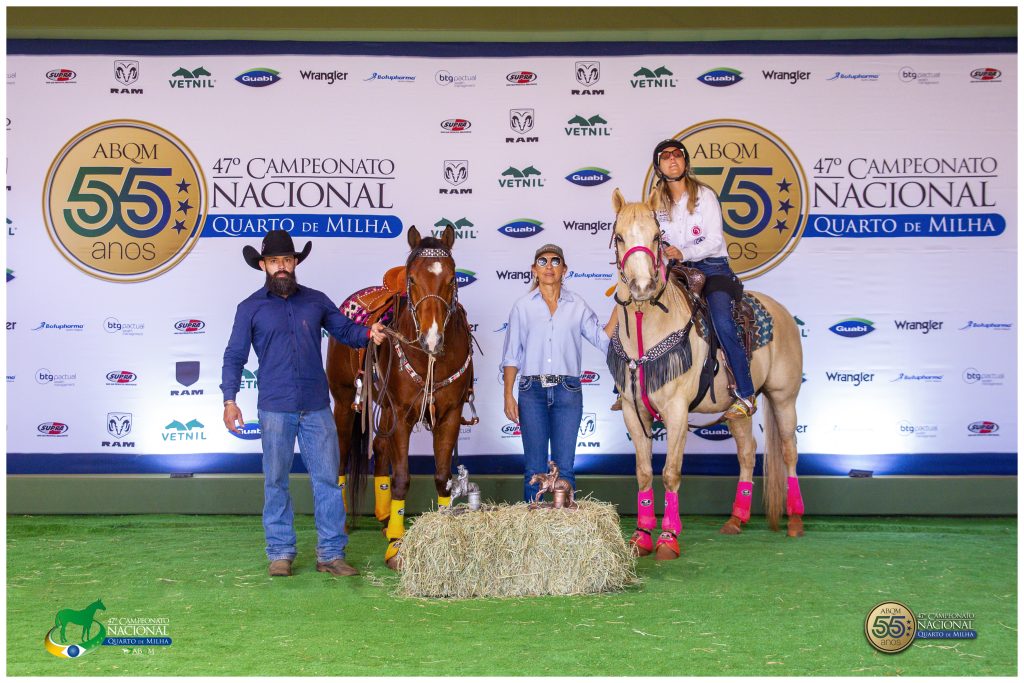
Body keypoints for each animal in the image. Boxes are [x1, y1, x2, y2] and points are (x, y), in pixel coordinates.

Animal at [325, 225, 473, 573]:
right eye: (413, 279)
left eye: (452, 279)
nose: (432, 337)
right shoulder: (403, 416)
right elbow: (402, 478)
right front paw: (396, 545)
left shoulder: (450, 414)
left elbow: (443, 477)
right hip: (345, 402)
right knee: (342, 454)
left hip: (385, 409)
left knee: (380, 449)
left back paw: (382, 516)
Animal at [606, 188, 806, 561]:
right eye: (620, 237)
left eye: (657, 237)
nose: (641, 287)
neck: (645, 326)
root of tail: (782, 311)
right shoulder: (632, 410)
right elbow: (643, 472)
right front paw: (641, 536)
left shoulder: (677, 411)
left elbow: (670, 472)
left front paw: (668, 538)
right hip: (737, 409)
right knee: (747, 451)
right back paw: (736, 519)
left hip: (784, 397)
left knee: (789, 450)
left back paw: (796, 521)